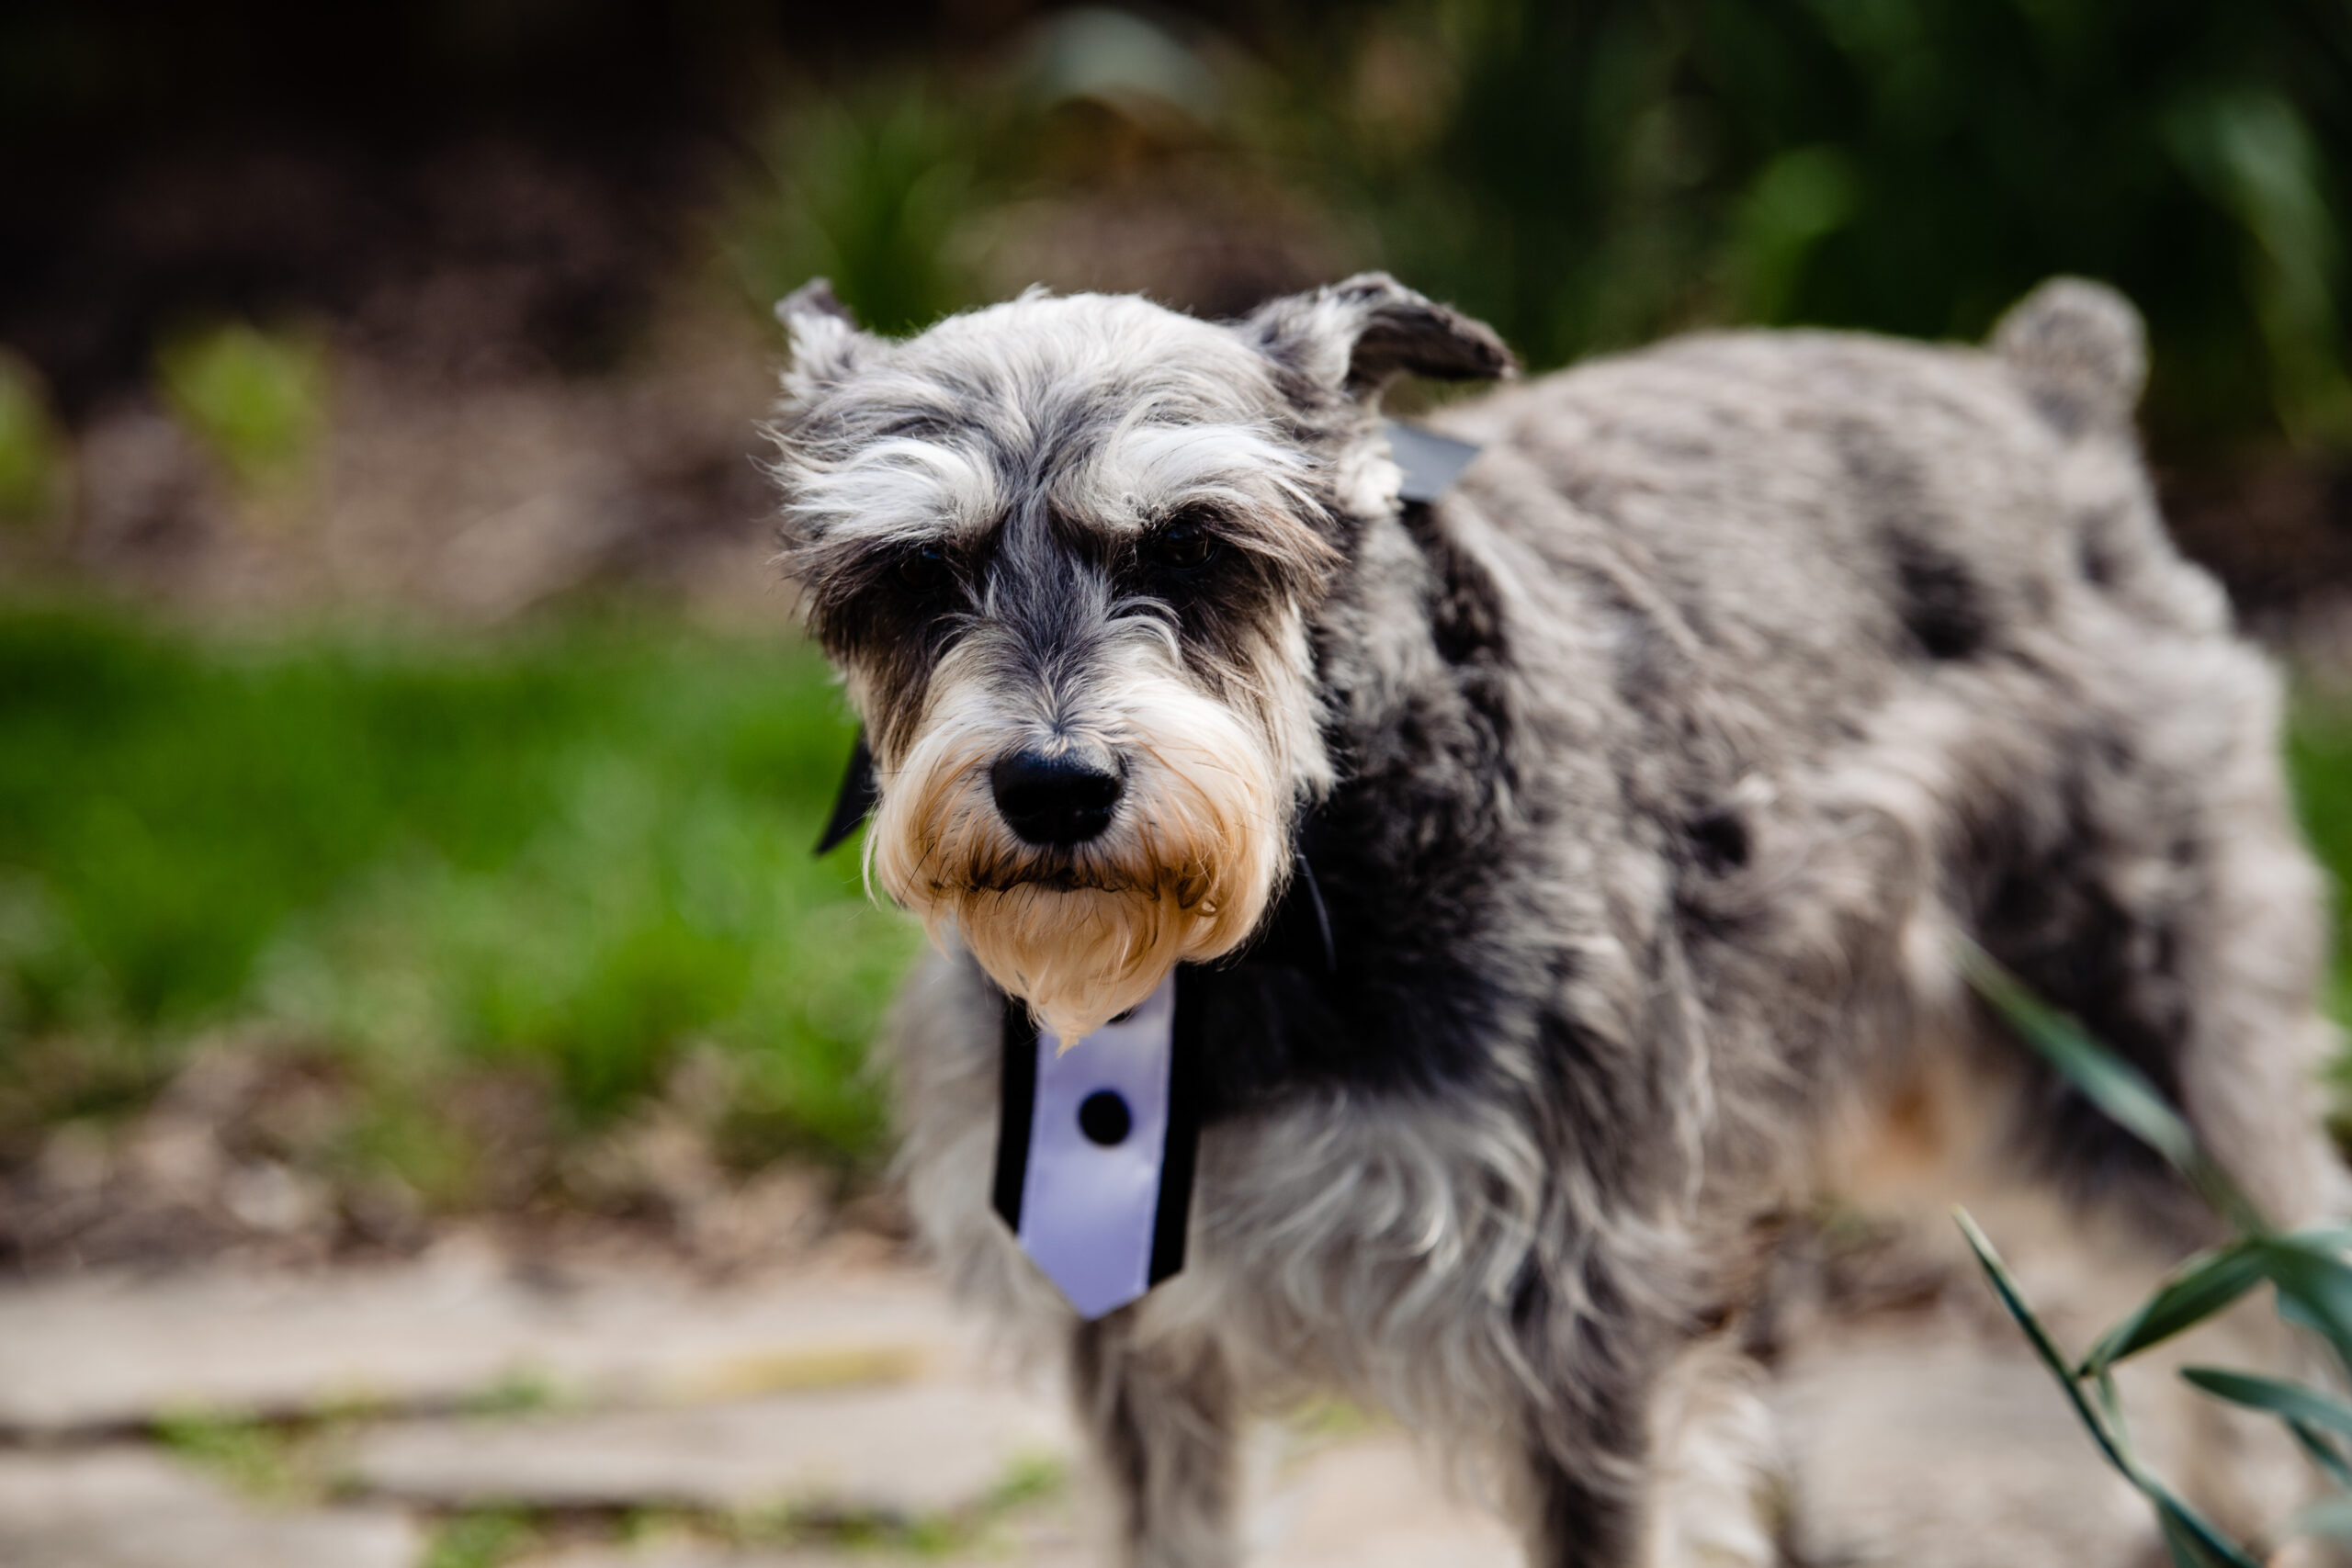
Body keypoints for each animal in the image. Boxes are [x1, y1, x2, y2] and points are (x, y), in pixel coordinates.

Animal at [762, 276, 2342, 1561]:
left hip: (2140, 1037)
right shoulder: (1137, 1335)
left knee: (2275, 1265)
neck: (1289, 898)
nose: (1056, 786)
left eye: (1199, 547)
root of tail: (2050, 393)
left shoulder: (1580, 1329)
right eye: (914, 570)